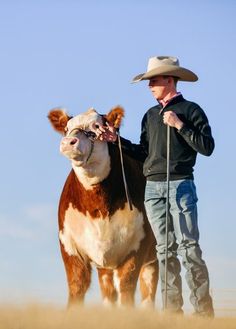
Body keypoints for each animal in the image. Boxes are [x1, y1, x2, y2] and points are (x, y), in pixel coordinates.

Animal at [47, 105, 159, 308]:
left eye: (96, 126)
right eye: (66, 129)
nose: (68, 142)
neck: (98, 208)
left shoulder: (137, 245)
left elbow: (126, 288)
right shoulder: (69, 245)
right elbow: (77, 286)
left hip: (153, 255)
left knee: (148, 290)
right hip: (104, 263)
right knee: (108, 291)